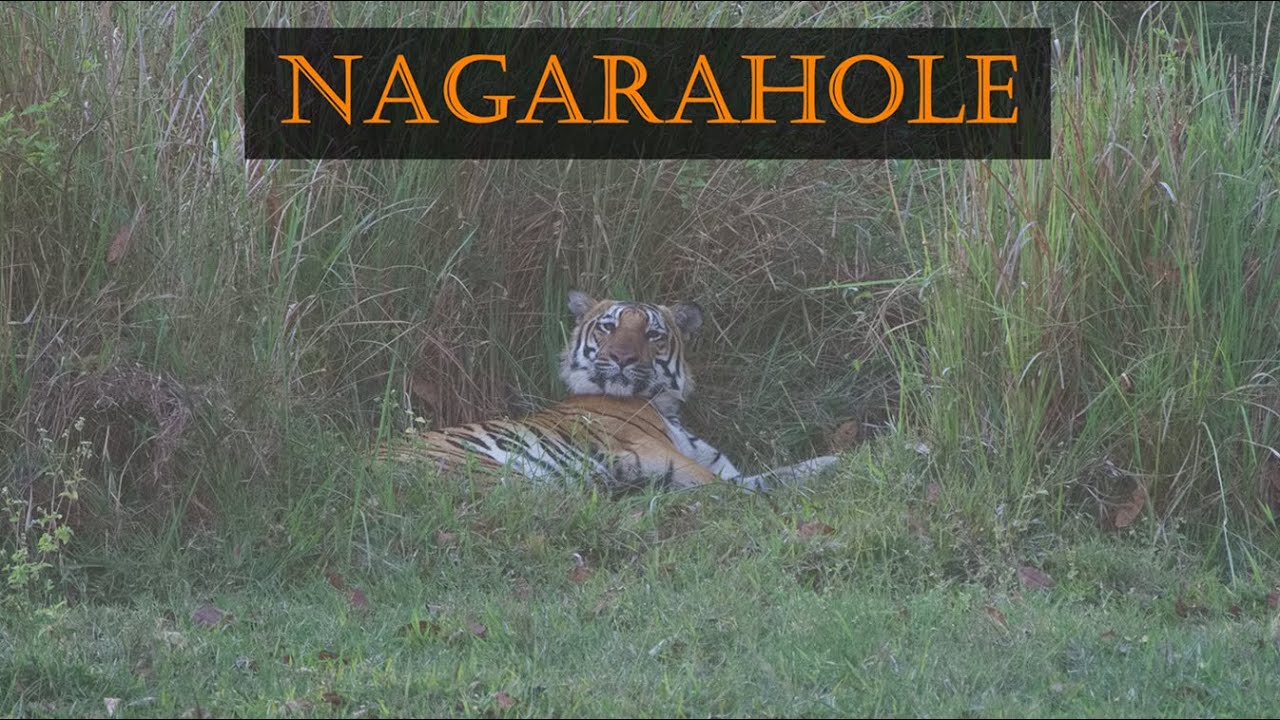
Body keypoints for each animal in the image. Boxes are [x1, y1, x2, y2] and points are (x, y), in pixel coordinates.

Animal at [373, 289, 839, 494]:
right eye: (608, 326)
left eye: (652, 334)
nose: (621, 358)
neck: (665, 406)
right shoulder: (656, 452)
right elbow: (736, 489)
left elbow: (776, 474)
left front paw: (835, 461)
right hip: (483, 469)